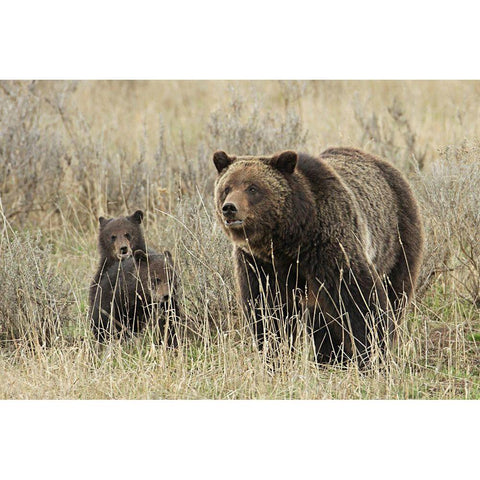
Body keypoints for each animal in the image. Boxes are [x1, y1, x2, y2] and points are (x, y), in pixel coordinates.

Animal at [214, 146, 424, 364]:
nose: (229, 208)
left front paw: (372, 353)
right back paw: (329, 357)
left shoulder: (329, 247)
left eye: (253, 188)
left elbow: (361, 300)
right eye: (227, 188)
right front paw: (274, 354)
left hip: (397, 239)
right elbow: (267, 310)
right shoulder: (260, 264)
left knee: (396, 292)